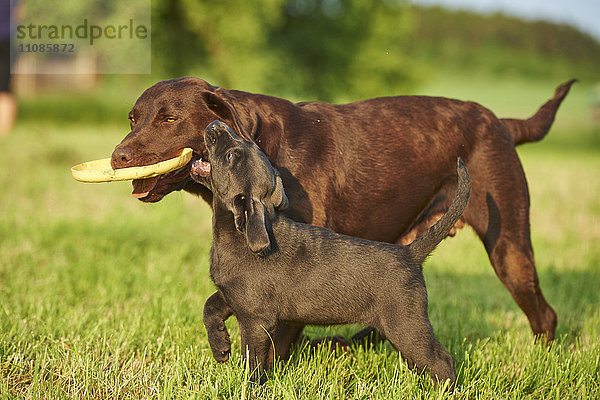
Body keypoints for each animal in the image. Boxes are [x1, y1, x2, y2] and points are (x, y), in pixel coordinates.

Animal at [190, 119, 472, 388]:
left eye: (230, 156)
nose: (215, 124)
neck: (237, 233)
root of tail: (410, 253)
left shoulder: (255, 319)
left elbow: (254, 360)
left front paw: (250, 387)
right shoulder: (233, 296)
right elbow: (209, 307)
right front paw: (220, 347)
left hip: (404, 324)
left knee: (442, 360)